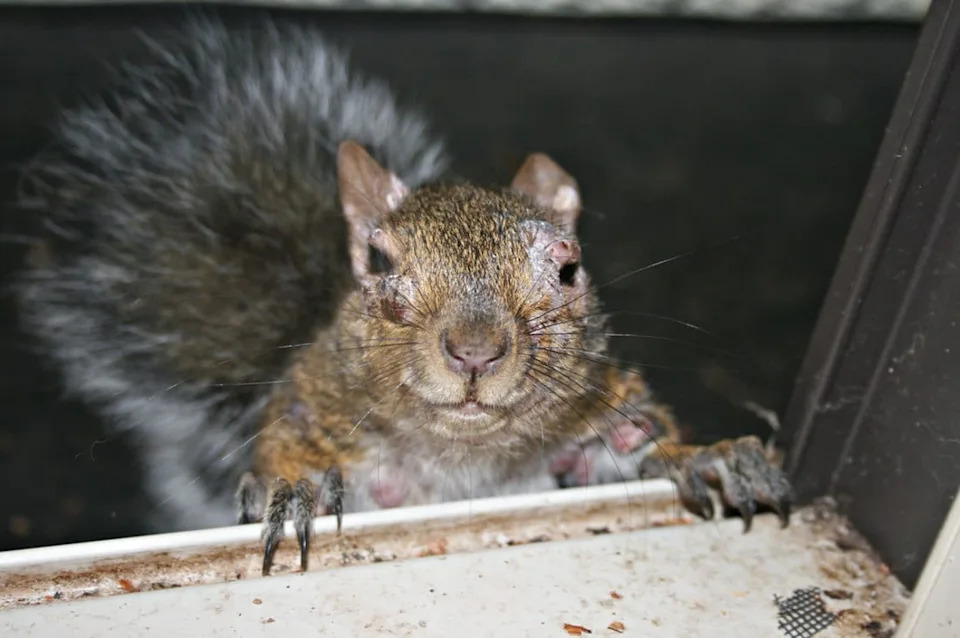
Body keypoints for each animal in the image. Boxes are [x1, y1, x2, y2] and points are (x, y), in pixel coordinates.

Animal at [15, 19, 791, 575]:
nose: (474, 352)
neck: (463, 454)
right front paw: (294, 490)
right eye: (380, 262)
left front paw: (709, 456)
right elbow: (287, 456)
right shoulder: (314, 412)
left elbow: (634, 450)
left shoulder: (594, 429)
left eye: (570, 270)